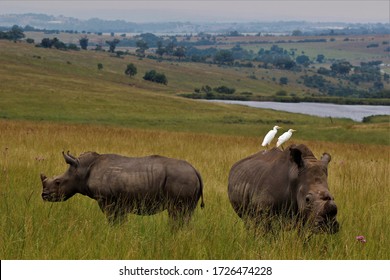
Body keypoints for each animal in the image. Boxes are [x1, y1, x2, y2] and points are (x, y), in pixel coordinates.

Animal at [40, 151, 204, 225]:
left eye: (58, 182)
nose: (44, 195)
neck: (81, 170)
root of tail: (195, 170)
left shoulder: (106, 200)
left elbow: (113, 220)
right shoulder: (118, 202)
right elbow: (119, 221)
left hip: (181, 179)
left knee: (177, 214)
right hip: (186, 180)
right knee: (186, 215)